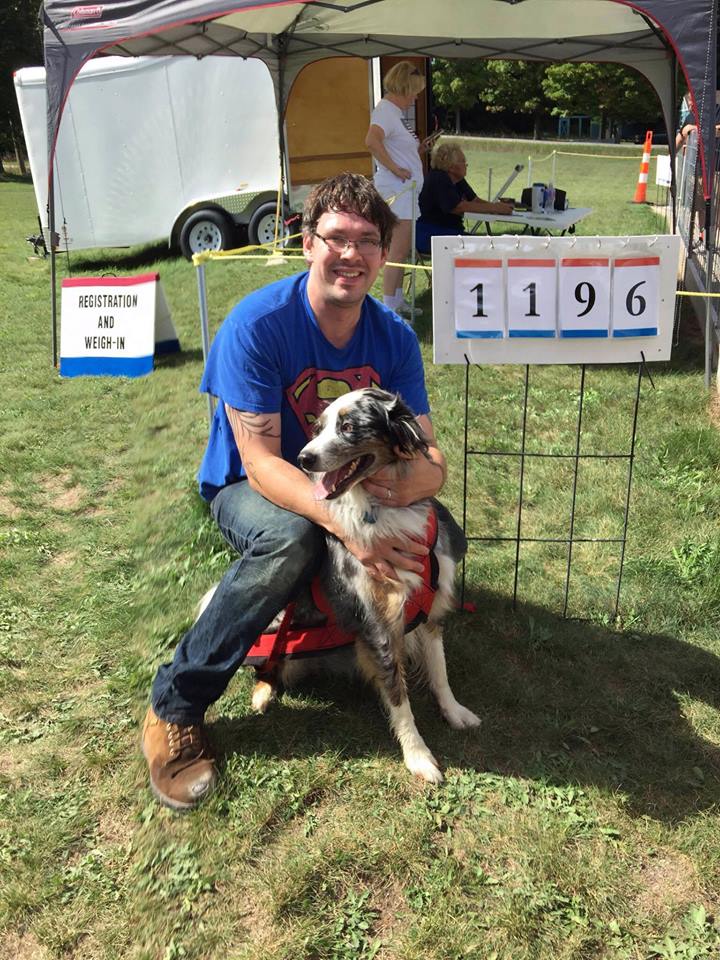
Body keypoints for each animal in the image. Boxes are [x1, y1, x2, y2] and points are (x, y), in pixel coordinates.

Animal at [200, 386, 478, 784]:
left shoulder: (431, 612)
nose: (303, 459)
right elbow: (400, 701)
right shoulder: (380, 628)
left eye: (348, 427)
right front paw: (418, 757)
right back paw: (262, 694)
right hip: (275, 626)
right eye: (318, 427)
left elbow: (440, 672)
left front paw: (455, 712)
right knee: (267, 664)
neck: (381, 509)